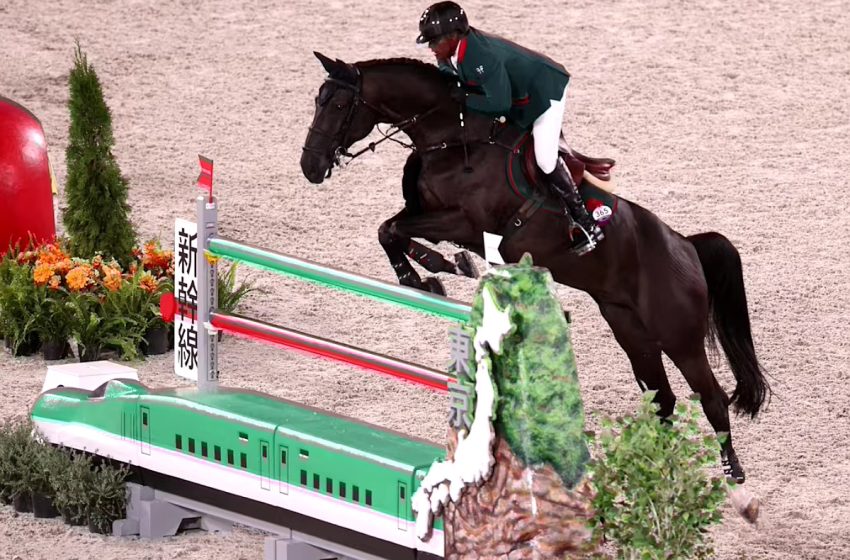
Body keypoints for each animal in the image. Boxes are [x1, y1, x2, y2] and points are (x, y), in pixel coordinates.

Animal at [298, 50, 768, 484]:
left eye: (337, 105)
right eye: (318, 100)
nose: (310, 166)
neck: (452, 138)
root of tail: (687, 246)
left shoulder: (466, 223)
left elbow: (397, 230)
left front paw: (434, 270)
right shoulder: (430, 214)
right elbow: (390, 230)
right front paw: (431, 272)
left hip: (678, 335)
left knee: (709, 395)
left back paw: (732, 473)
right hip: (629, 327)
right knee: (662, 397)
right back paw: (656, 464)